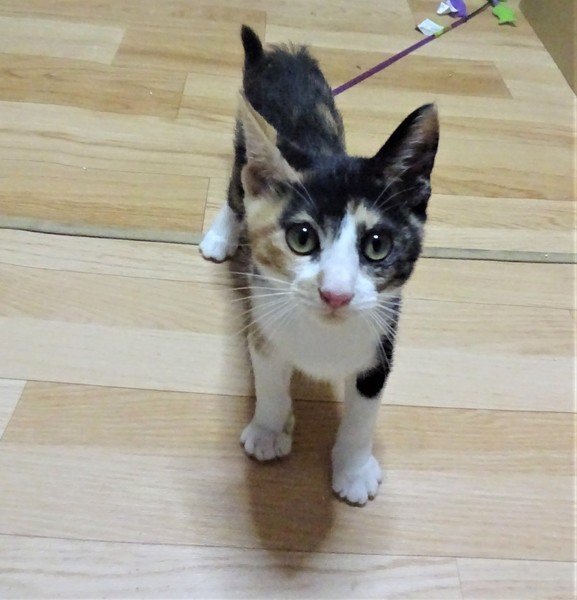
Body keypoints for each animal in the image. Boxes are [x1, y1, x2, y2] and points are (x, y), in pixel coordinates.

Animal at [199, 25, 439, 505]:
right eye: (302, 238)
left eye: (378, 245)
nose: (336, 294)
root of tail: (279, 56)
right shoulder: (263, 320)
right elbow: (270, 380)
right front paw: (269, 430)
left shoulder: (382, 340)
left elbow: (364, 412)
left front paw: (353, 469)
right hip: (244, 150)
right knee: (237, 190)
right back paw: (222, 233)